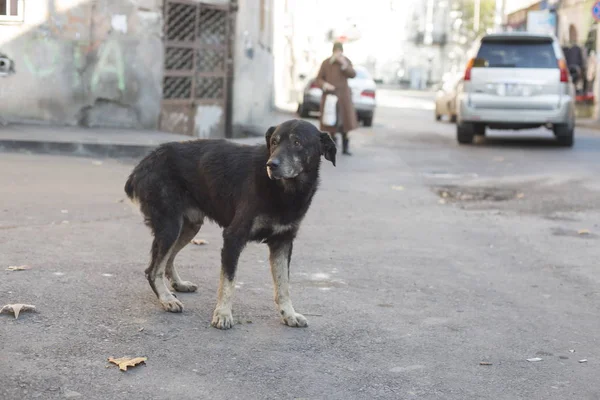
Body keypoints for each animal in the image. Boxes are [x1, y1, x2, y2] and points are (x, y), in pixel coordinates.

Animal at [124, 120, 336, 330]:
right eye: (274, 142)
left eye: (297, 142)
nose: (271, 165)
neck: (285, 190)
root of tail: (144, 162)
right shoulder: (233, 237)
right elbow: (228, 282)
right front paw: (223, 314)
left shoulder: (283, 242)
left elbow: (283, 284)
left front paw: (289, 314)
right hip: (170, 227)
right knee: (153, 270)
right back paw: (166, 298)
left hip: (189, 226)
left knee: (168, 260)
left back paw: (178, 284)